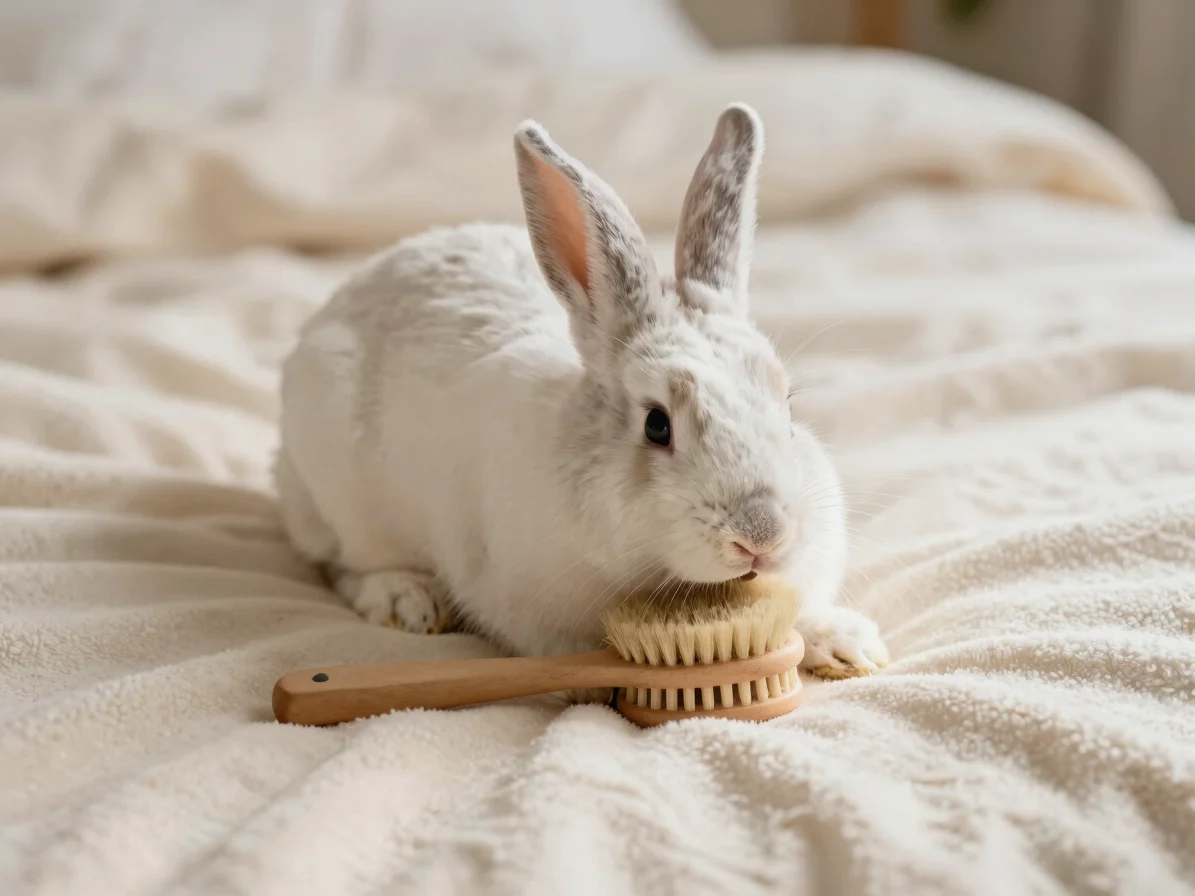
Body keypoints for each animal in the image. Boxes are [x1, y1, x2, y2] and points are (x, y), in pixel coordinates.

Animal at [274, 103, 888, 679]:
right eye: (657, 425)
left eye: (788, 405)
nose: (762, 535)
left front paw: (852, 646)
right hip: (336, 482)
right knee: (342, 563)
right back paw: (406, 600)